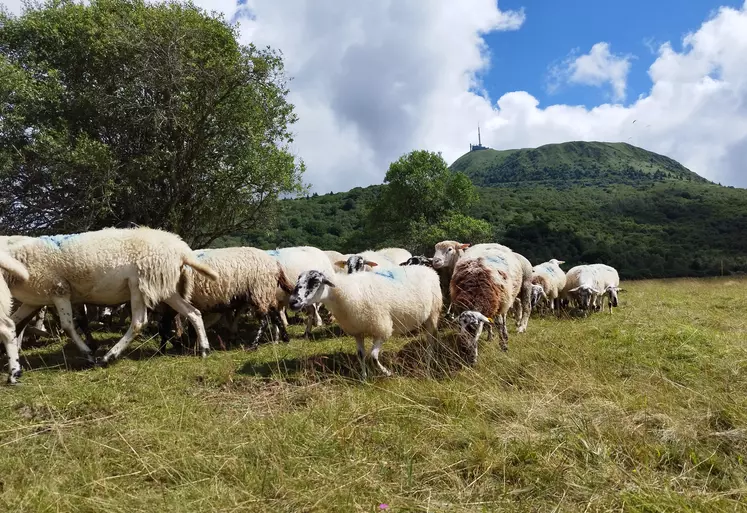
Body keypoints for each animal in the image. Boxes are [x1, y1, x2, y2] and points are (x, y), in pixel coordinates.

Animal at [2, 226, 219, 370]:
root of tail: (181, 249)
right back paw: (204, 350)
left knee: (139, 322)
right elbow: (14, 322)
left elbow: (68, 326)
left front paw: (88, 354)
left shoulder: (59, 290)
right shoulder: (32, 301)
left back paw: (109, 356)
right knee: (193, 312)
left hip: (138, 284)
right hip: (163, 286)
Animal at [159, 247, 294, 348]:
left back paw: (254, 345)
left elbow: (167, 327)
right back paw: (285, 338)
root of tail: (275, 263)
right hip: (265, 292)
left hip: (260, 289)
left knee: (265, 320)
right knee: (275, 315)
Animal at [284, 266, 438, 378]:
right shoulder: (357, 331)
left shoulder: (382, 328)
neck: (344, 292)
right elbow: (361, 355)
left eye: (315, 282)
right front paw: (363, 377)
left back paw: (428, 362)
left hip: (433, 314)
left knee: (431, 342)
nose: (292, 302)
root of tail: (427, 268)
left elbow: (374, 356)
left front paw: (388, 372)